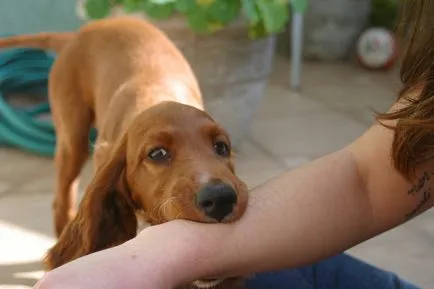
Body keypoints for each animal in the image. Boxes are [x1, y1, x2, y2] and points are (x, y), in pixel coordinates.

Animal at [0, 16, 248, 286]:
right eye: (157, 154)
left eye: (221, 147)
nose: (221, 198)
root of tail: (80, 32)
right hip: (72, 139)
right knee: (61, 201)